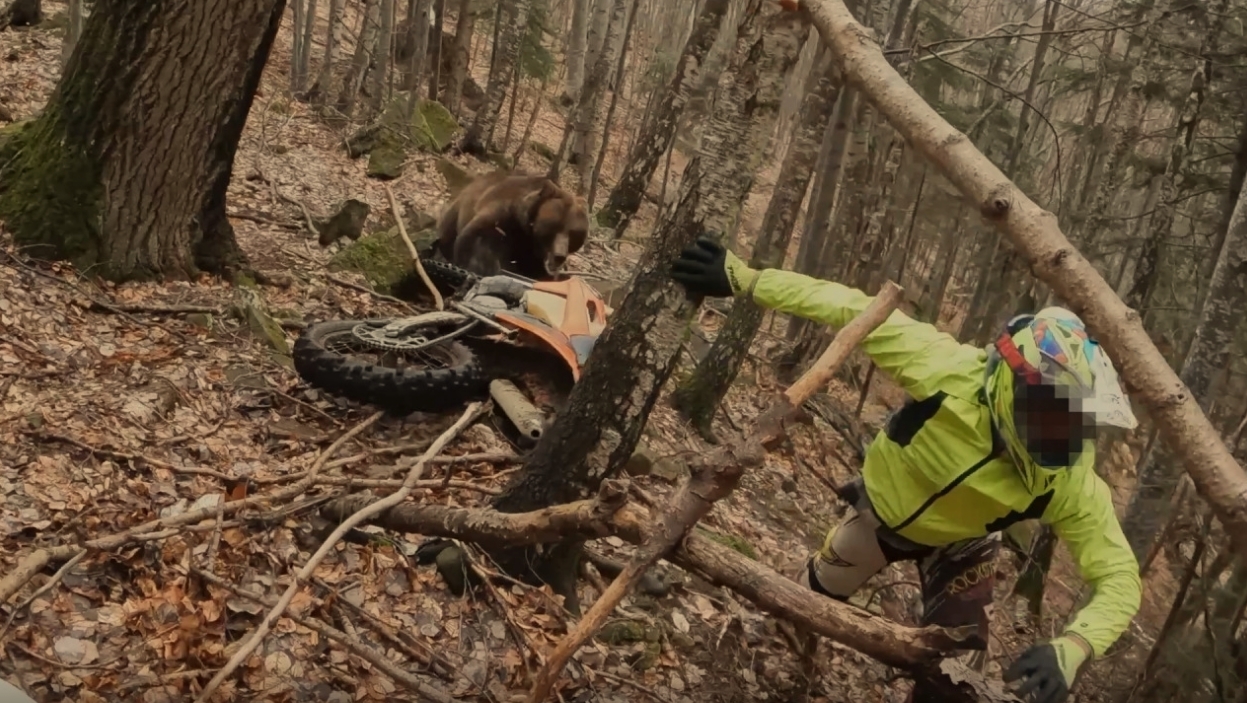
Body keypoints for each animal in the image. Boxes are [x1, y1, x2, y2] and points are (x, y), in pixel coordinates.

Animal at [434, 170, 589, 280]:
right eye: (554, 226)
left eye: (573, 233)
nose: (559, 256)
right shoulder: (502, 217)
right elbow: (475, 241)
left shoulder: (531, 250)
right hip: (458, 210)